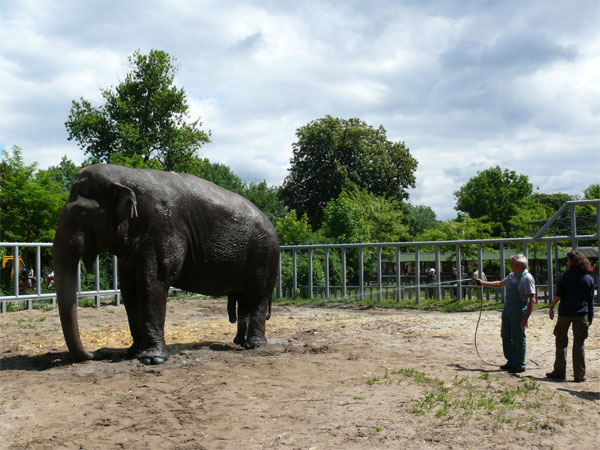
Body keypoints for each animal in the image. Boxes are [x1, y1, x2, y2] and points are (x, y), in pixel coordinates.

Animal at [52, 163, 280, 364]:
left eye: (81, 215)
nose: (95, 354)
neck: (125, 176)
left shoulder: (163, 227)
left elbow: (153, 281)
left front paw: (152, 359)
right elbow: (128, 288)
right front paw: (132, 353)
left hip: (264, 256)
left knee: (258, 297)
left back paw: (255, 346)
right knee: (245, 299)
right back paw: (239, 342)